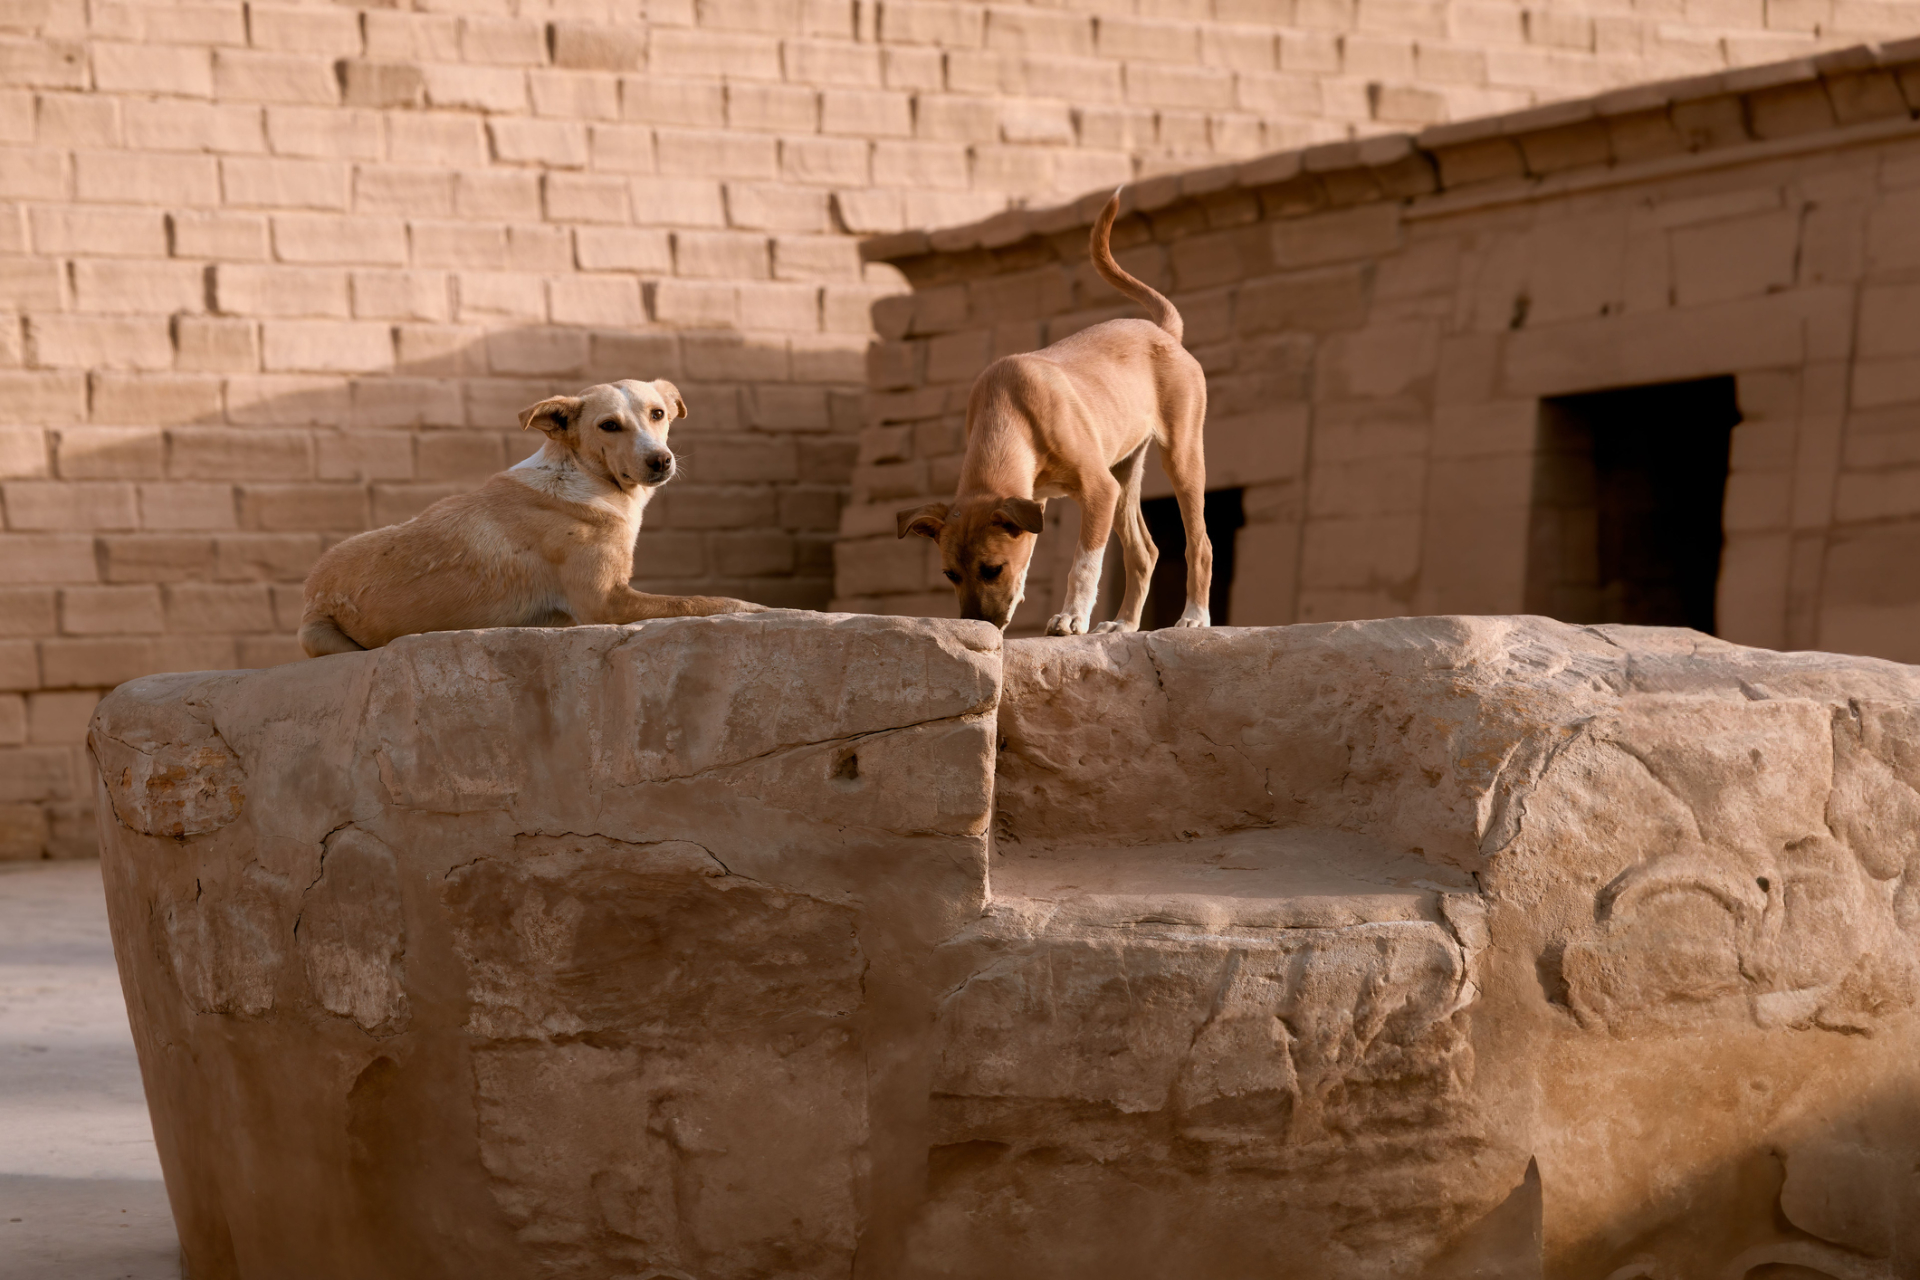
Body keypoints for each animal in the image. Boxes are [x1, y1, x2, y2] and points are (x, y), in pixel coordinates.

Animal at [295, 378, 760, 660]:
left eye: (658, 414)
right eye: (609, 425)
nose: (661, 460)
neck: (585, 476)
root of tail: (311, 588)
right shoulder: (606, 601)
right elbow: (698, 601)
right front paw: (751, 607)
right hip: (319, 636)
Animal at [890, 186, 1205, 637]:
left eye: (991, 569)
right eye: (950, 574)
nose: (978, 625)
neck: (1008, 410)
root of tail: (1163, 330)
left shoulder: (1097, 489)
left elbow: (1084, 565)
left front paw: (1071, 617)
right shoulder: (1034, 500)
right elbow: (1031, 562)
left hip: (1180, 456)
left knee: (1199, 544)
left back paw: (1194, 617)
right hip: (1126, 473)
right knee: (1144, 552)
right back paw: (1124, 624)